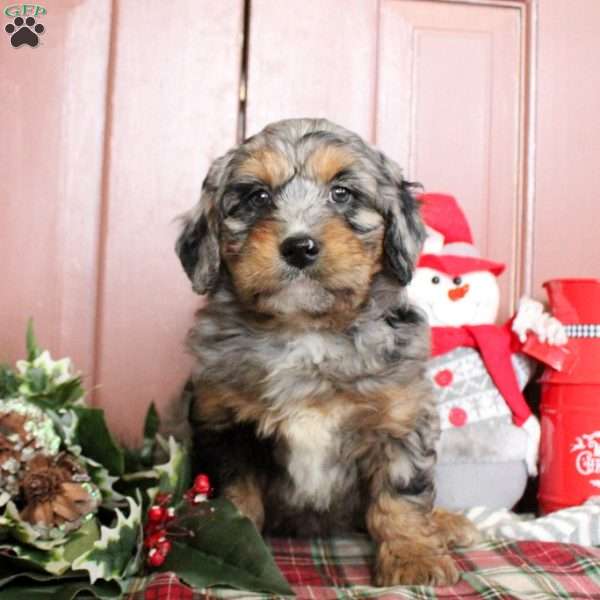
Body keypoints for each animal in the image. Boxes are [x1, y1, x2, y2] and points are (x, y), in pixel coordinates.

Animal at [173, 118, 478, 584]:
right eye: (258, 196)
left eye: (342, 193)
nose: (299, 247)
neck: (306, 330)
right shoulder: (225, 426)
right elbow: (236, 496)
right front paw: (237, 541)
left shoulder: (401, 418)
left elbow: (401, 495)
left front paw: (413, 558)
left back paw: (446, 523)